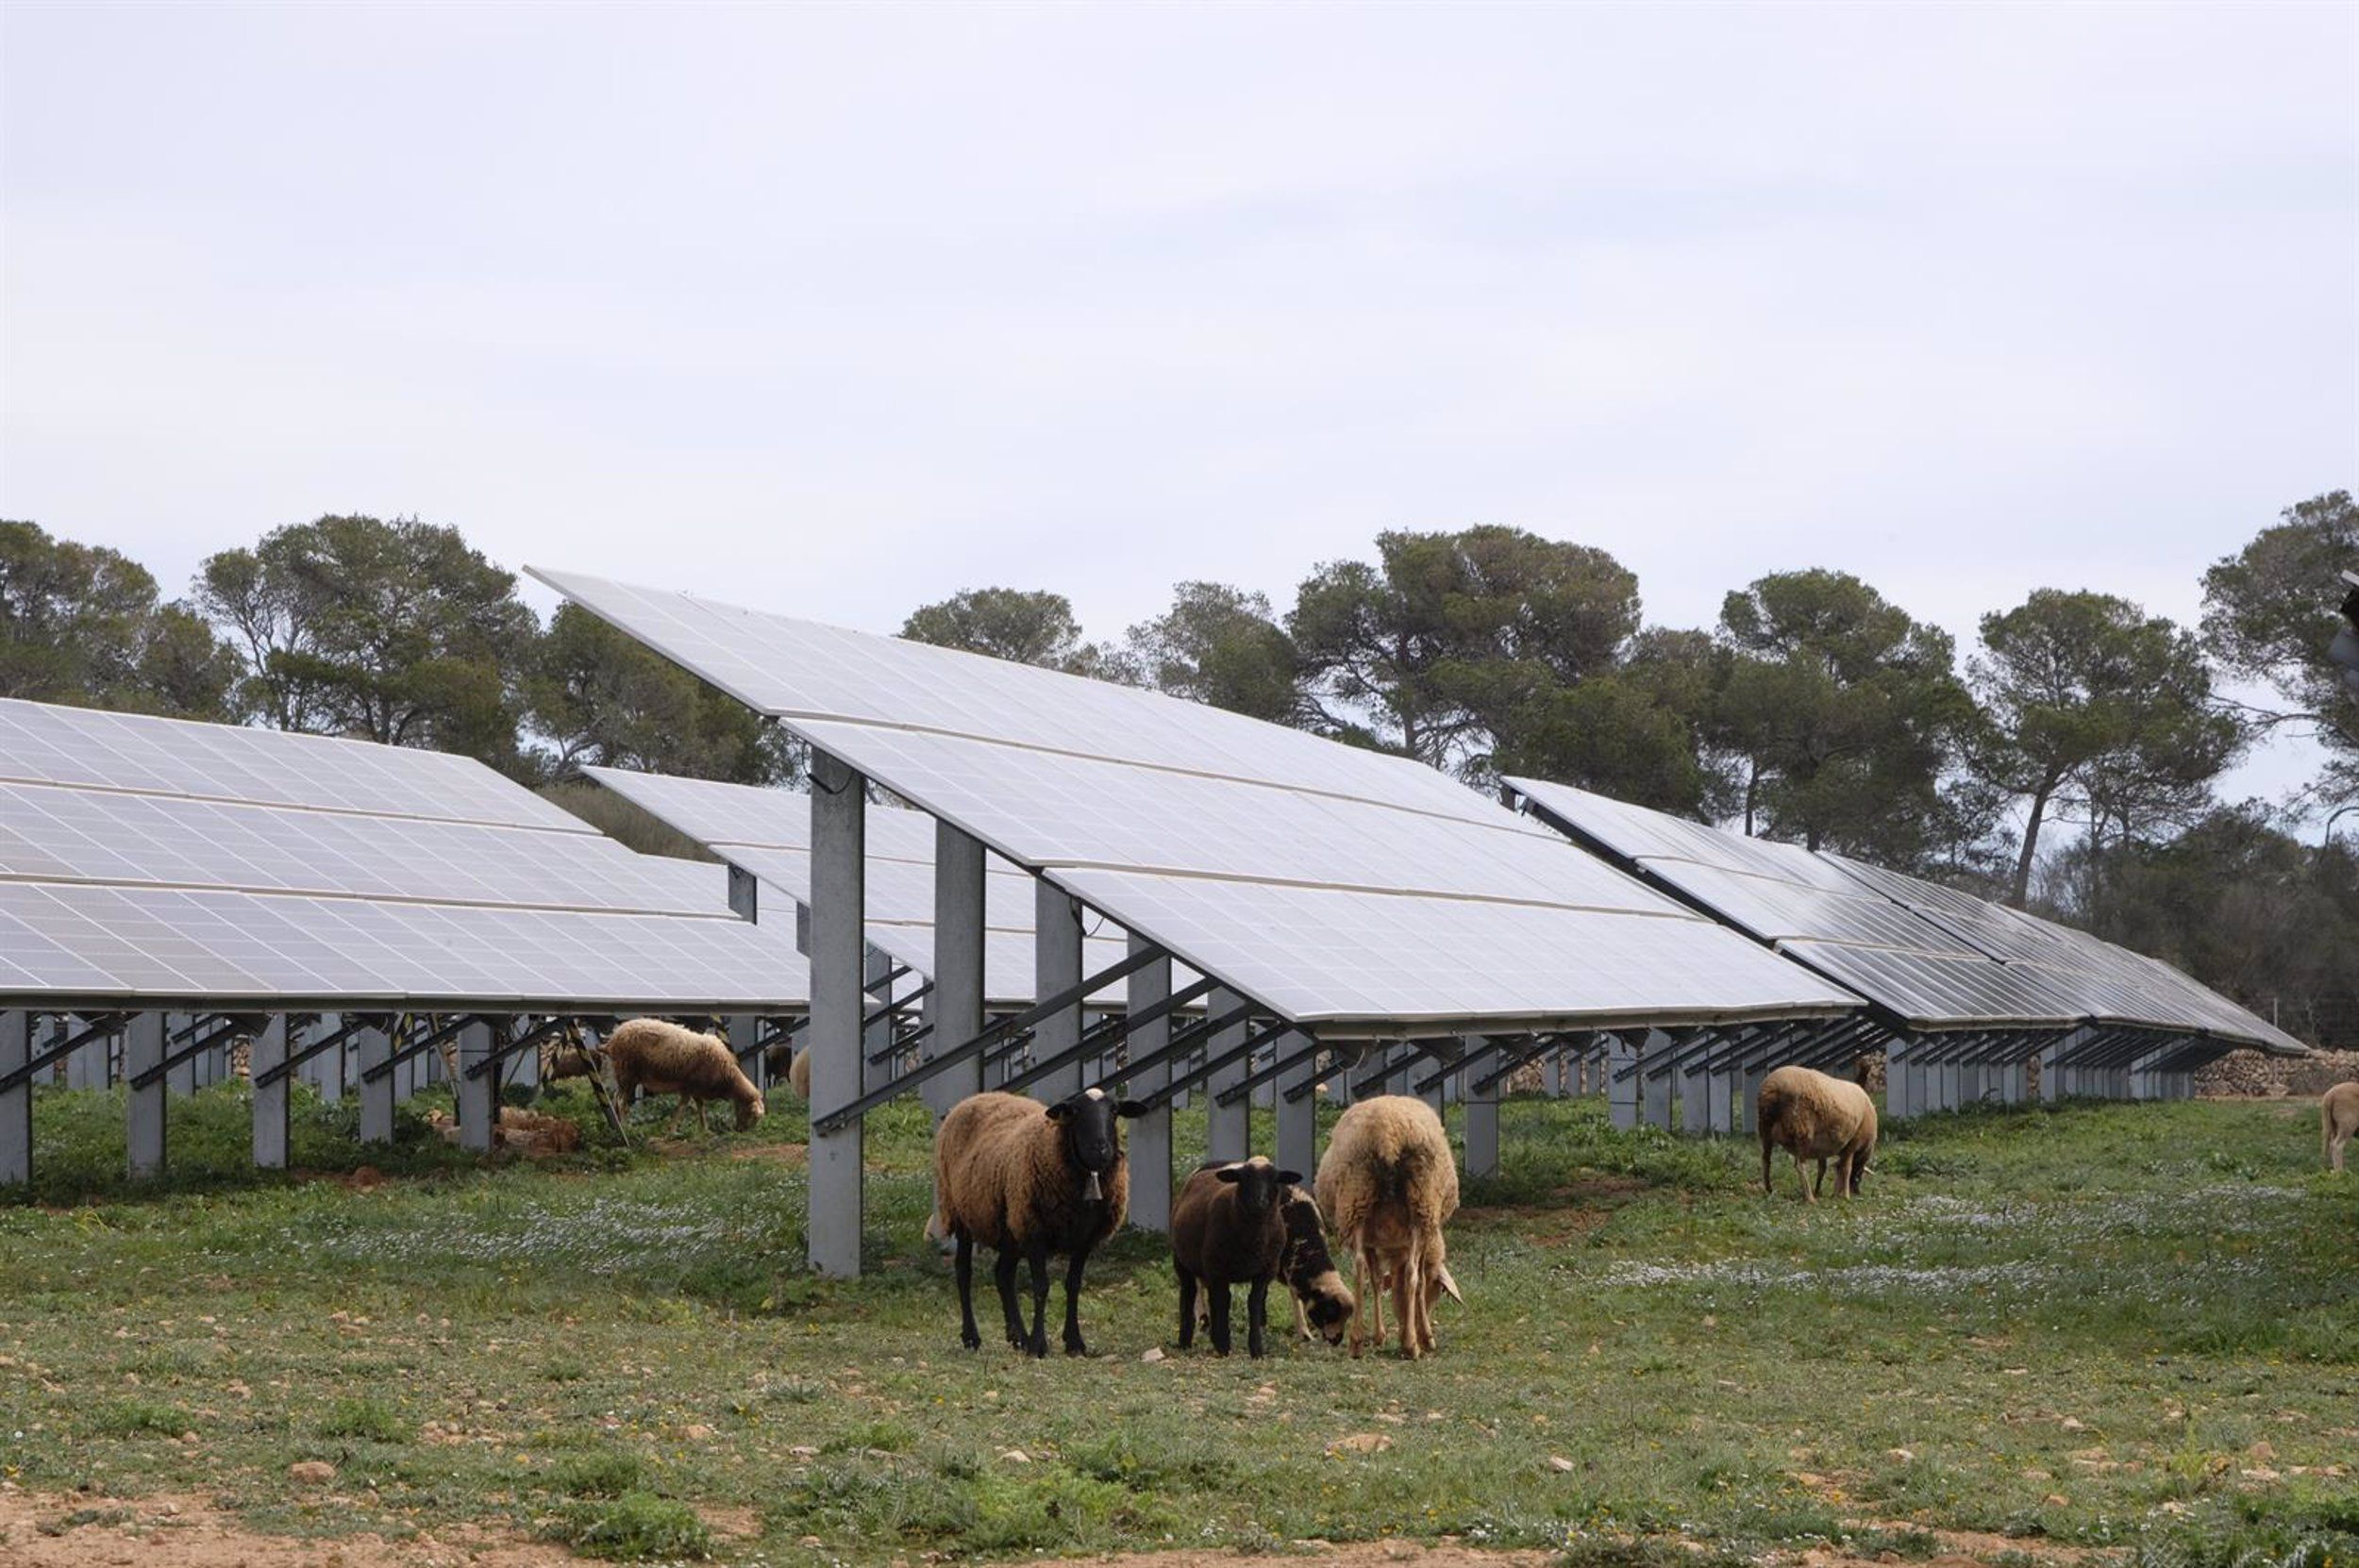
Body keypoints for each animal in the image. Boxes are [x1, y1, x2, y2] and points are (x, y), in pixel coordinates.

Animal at [599, 1013, 764, 1126]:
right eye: (752, 1116)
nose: (740, 1131)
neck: (728, 1077)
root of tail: (612, 1039)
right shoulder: (692, 1086)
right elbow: (683, 1108)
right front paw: (671, 1132)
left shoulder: (694, 1089)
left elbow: (699, 1108)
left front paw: (704, 1130)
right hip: (627, 1073)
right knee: (621, 1101)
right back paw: (626, 1127)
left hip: (625, 1076)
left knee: (616, 1099)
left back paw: (618, 1126)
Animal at [920, 1089, 1142, 1358]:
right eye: (1074, 1111)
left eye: (1114, 1111)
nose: (1100, 1149)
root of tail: (977, 1097)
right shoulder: (1035, 1231)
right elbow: (1041, 1286)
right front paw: (1039, 1344)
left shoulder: (1084, 1238)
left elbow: (1073, 1284)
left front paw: (1074, 1342)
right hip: (962, 1213)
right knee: (964, 1271)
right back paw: (972, 1337)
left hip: (1010, 1228)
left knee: (1003, 1275)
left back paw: (1018, 1337)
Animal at [1180, 1150, 1312, 1358]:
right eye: (1244, 1179)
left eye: (1274, 1179)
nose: (1260, 1202)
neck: (1254, 1239)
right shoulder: (1218, 1269)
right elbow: (1223, 1302)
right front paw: (1223, 1345)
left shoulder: (1265, 1272)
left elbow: (1254, 1304)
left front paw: (1256, 1349)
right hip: (1183, 1263)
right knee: (1189, 1293)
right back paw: (1185, 1340)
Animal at [1312, 1089, 1453, 1358]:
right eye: (1438, 1290)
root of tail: (1388, 1135)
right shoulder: (1424, 1234)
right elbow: (1418, 1281)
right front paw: (1425, 1336)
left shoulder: (1372, 1238)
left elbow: (1377, 1280)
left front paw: (1380, 1336)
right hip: (1420, 1205)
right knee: (1411, 1273)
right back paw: (1411, 1345)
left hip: (1357, 1200)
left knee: (1358, 1269)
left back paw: (1357, 1342)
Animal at [1755, 1065, 1878, 1197]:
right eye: (1860, 1175)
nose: (1857, 1192)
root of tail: (1772, 1087)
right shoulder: (1852, 1144)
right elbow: (1846, 1169)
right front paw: (1845, 1196)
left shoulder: (1822, 1148)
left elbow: (1823, 1168)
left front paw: (1819, 1191)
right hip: (1802, 1130)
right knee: (1800, 1166)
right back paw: (1810, 1198)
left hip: (1765, 1129)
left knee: (1766, 1159)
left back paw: (1769, 1189)